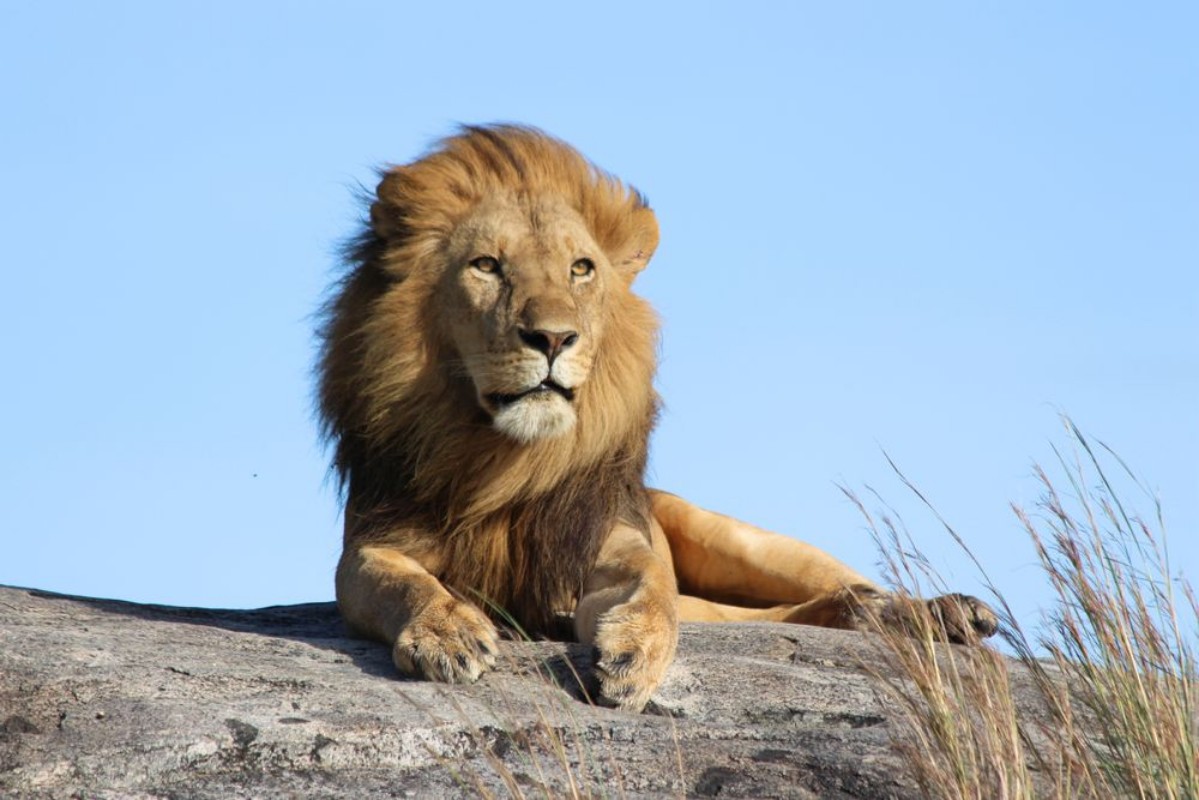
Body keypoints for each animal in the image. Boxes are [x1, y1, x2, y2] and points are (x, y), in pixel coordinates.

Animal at [318, 124, 997, 712]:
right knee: (801, 611)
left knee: (840, 584)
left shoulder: (613, 537)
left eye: (581, 269)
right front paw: (447, 633)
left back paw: (941, 612)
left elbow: (650, 586)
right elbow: (401, 583)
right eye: (486, 266)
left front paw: (632, 654)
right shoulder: (374, 544)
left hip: (735, 538)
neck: (509, 461)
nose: (553, 338)